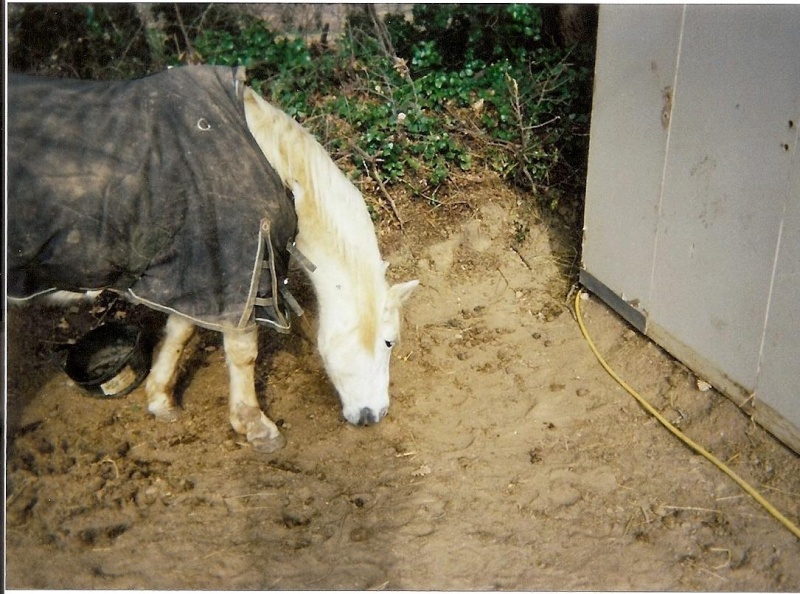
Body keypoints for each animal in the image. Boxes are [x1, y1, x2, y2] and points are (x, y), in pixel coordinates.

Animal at [144, 86, 418, 448]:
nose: (375, 415)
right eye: (389, 342)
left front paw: (159, 398)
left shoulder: (202, 267)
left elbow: (181, 327)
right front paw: (253, 424)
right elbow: (242, 347)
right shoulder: (241, 266)